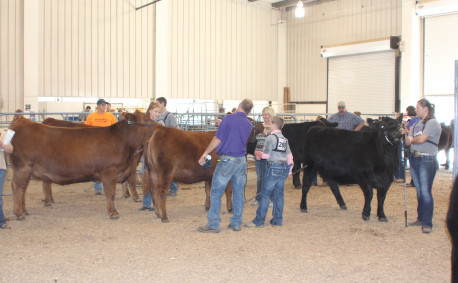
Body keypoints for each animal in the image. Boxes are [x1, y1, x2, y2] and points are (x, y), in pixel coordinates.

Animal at [8, 111, 152, 220]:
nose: (155, 125)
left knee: (24, 189)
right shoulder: (109, 172)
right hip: (22, 168)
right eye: (146, 120)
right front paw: (113, 213)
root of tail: (22, 121)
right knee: (17, 187)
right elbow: (110, 193)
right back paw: (19, 213)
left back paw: (24, 211)